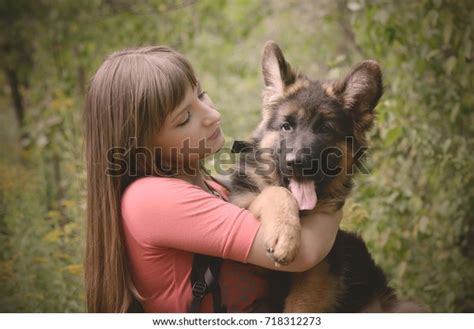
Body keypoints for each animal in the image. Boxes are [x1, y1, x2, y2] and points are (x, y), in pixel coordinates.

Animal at [228, 41, 420, 310]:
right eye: (287, 126)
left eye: (325, 129)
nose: (297, 163)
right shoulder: (242, 206)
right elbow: (276, 192)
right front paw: (284, 235)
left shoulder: (320, 270)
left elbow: (302, 303)